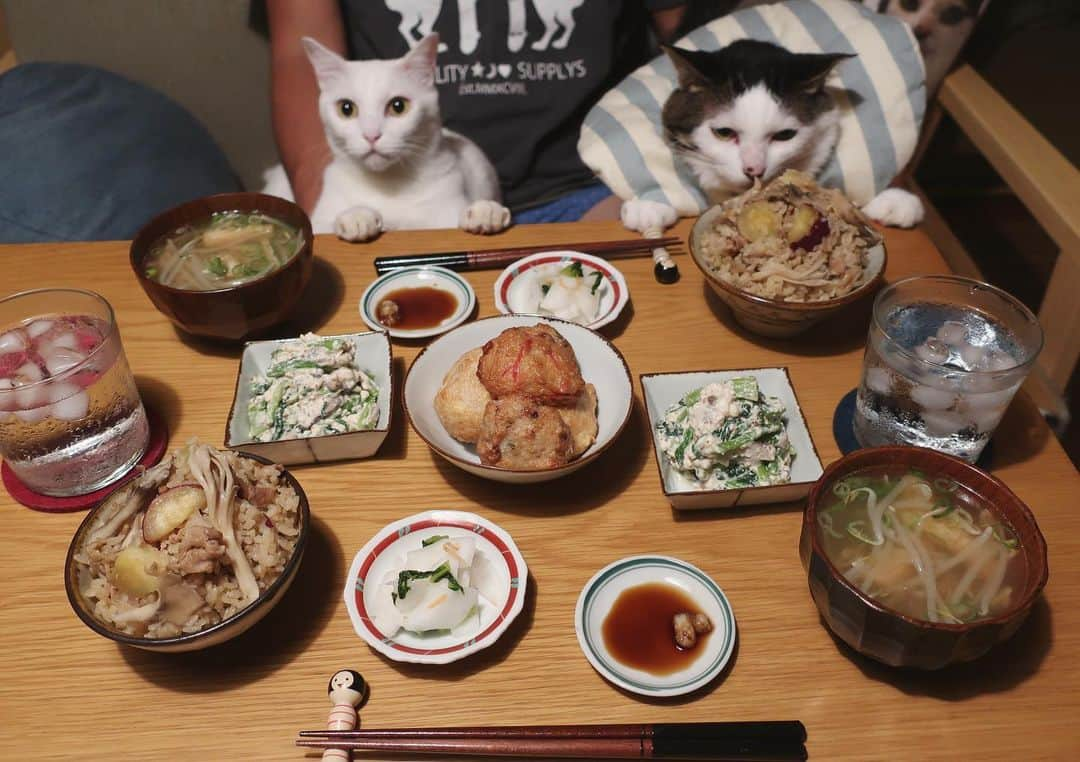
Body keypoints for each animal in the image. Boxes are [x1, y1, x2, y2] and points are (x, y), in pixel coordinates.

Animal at [264, 34, 509, 240]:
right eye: (346, 108)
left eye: (398, 106)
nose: (371, 135)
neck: (389, 185)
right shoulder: (318, 221)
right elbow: (325, 227)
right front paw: (356, 216)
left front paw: (484, 212)